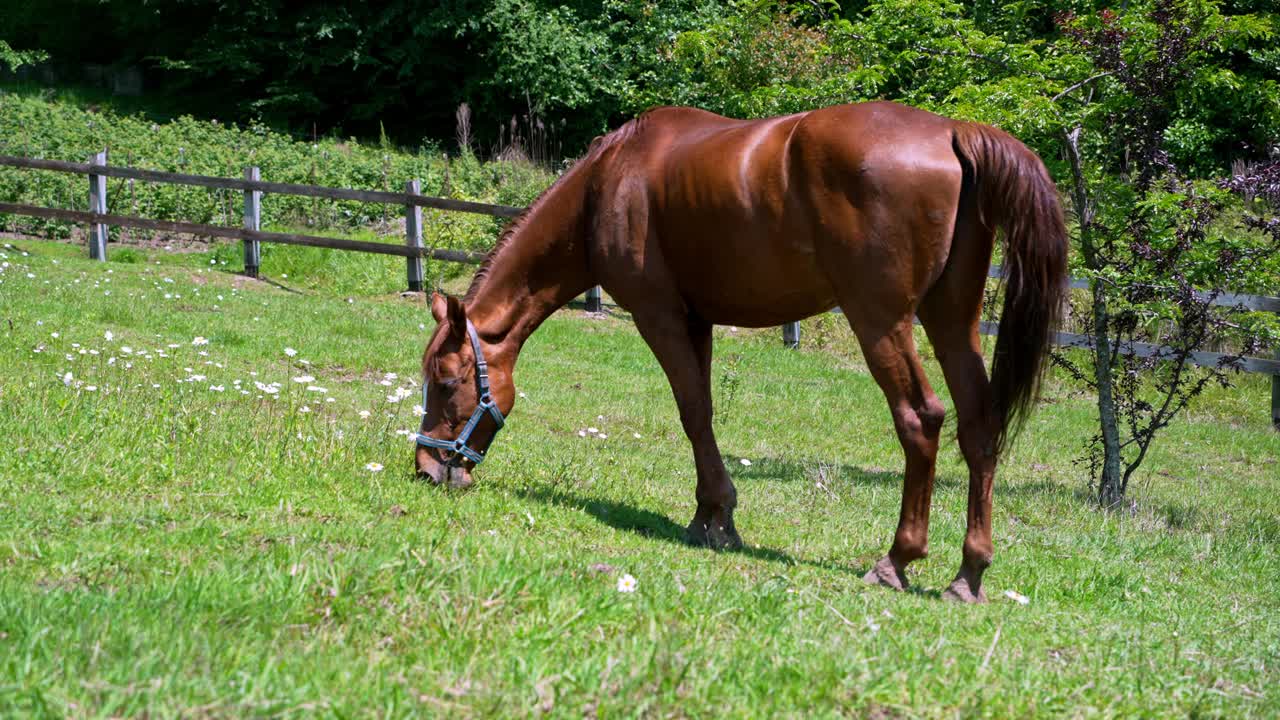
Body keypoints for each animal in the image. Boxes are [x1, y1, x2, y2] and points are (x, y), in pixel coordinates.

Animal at [414, 101, 1064, 599]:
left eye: (447, 381)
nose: (427, 468)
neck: (607, 182)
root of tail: (954, 131)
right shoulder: (697, 322)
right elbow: (701, 413)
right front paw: (709, 515)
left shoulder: (660, 317)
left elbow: (693, 414)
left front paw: (717, 519)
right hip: (951, 320)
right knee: (979, 427)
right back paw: (969, 573)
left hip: (881, 321)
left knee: (921, 419)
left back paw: (896, 560)